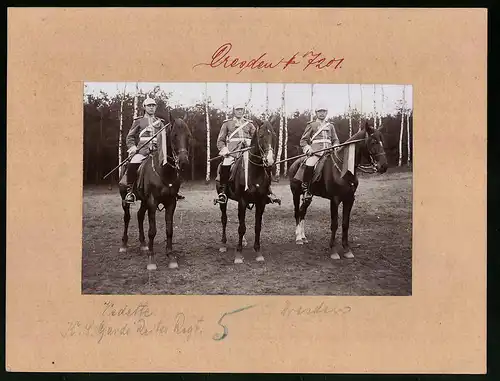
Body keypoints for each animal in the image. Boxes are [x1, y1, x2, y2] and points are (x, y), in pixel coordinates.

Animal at [118, 113, 192, 270]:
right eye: (174, 135)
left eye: (188, 135)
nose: (184, 162)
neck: (164, 171)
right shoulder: (152, 202)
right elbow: (152, 231)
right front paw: (151, 260)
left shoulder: (171, 203)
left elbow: (169, 230)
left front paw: (171, 256)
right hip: (125, 200)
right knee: (127, 218)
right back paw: (124, 245)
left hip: (144, 201)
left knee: (139, 216)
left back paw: (143, 244)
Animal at [215, 117, 278, 262]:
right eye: (261, 136)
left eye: (274, 136)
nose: (269, 161)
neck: (255, 172)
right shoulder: (242, 201)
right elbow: (241, 227)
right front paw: (238, 254)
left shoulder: (260, 202)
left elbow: (257, 227)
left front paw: (258, 252)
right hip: (223, 201)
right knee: (224, 219)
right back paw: (223, 244)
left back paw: (243, 241)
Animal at [288, 121, 388, 258]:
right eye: (373, 142)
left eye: (382, 141)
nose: (384, 166)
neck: (343, 169)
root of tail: (294, 163)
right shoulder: (334, 200)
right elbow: (334, 224)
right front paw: (333, 250)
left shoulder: (349, 199)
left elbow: (345, 223)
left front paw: (346, 249)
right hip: (296, 194)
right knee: (297, 213)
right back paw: (298, 238)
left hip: (308, 196)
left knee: (302, 212)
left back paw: (303, 237)